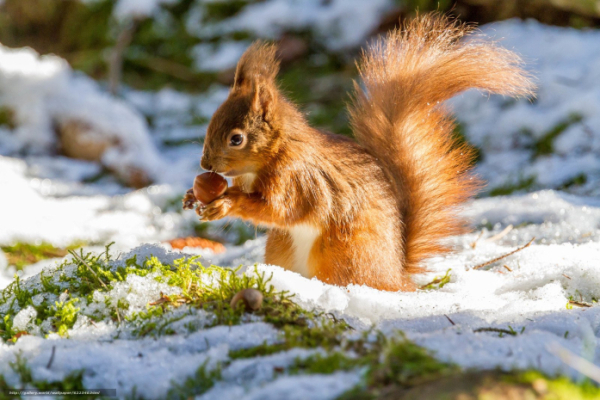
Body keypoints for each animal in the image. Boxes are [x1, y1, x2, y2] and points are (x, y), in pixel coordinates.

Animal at [183, 14, 536, 290]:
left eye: (236, 139)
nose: (205, 162)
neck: (275, 153)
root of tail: (396, 277)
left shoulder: (297, 179)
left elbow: (279, 210)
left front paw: (226, 203)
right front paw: (191, 196)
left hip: (344, 254)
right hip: (282, 248)